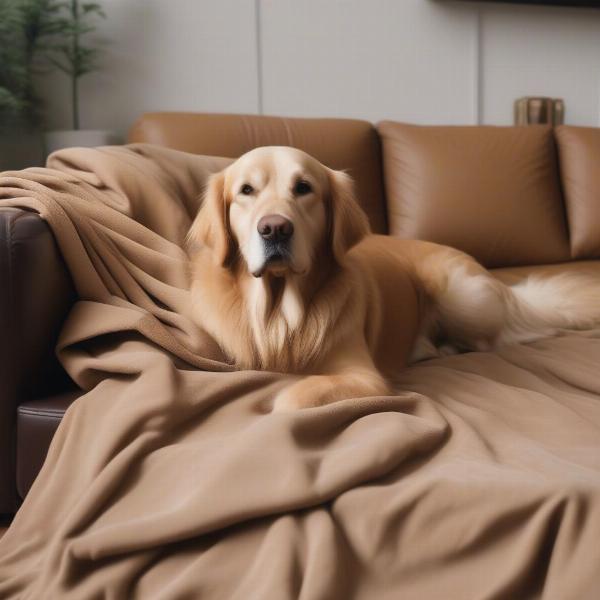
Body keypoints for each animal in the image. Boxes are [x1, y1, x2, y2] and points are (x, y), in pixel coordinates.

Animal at [188, 146, 600, 410]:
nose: (275, 228)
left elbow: (292, 398)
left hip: (462, 295)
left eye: (304, 188)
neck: (280, 316)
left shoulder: (364, 377)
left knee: (496, 337)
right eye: (246, 191)